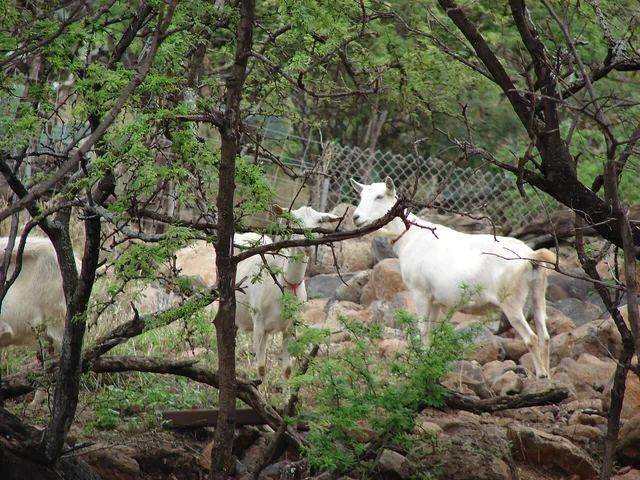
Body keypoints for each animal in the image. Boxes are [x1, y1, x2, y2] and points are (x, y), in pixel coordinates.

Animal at [234, 206, 340, 379]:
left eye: (319, 221)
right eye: (294, 220)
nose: (308, 244)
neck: (284, 284)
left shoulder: (291, 326)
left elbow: (287, 370)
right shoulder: (258, 322)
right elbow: (261, 369)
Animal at [351, 177, 556, 378]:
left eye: (379, 196)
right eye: (361, 196)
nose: (355, 218)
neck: (409, 236)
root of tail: (531, 256)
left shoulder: (420, 292)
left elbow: (423, 329)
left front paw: (419, 366)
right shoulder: (434, 298)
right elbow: (431, 330)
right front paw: (427, 361)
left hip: (511, 299)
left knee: (531, 337)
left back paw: (540, 375)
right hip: (538, 292)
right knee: (544, 334)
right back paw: (547, 376)